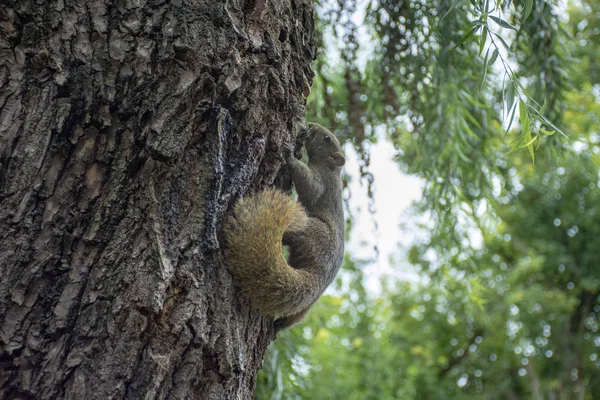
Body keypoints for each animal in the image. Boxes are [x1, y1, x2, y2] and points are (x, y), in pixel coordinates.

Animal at [224, 123, 346, 330]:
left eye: (327, 138)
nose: (311, 125)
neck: (331, 169)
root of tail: (320, 275)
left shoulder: (322, 181)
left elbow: (309, 186)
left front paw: (289, 155)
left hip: (313, 232)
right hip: (305, 310)